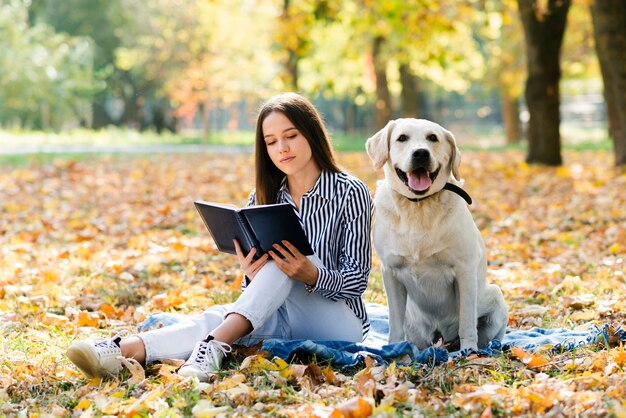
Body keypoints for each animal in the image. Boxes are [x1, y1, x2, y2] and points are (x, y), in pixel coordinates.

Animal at [366, 119, 508, 352]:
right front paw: (394, 349)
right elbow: (394, 324)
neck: (418, 206)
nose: (421, 153)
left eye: (433, 138)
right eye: (402, 138)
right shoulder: (390, 271)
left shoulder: (465, 269)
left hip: (495, 297)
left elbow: (467, 320)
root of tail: (441, 337)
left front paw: (468, 351)